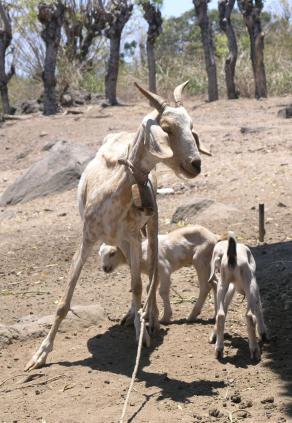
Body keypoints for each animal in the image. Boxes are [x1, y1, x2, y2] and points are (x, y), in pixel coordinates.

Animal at [24, 82, 210, 372]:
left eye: (191, 126)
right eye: (166, 127)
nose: (195, 164)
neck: (113, 191)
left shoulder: (133, 237)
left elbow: (138, 284)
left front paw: (142, 332)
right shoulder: (87, 237)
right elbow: (65, 299)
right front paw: (39, 355)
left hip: (150, 227)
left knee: (151, 273)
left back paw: (150, 318)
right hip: (124, 237)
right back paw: (134, 314)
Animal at [208, 234, 266, 362]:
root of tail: (231, 256)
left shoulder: (230, 286)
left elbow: (224, 307)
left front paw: (213, 335)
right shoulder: (254, 286)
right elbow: (259, 306)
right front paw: (263, 333)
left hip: (223, 283)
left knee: (220, 314)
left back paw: (219, 350)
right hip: (250, 283)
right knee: (249, 315)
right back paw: (255, 351)